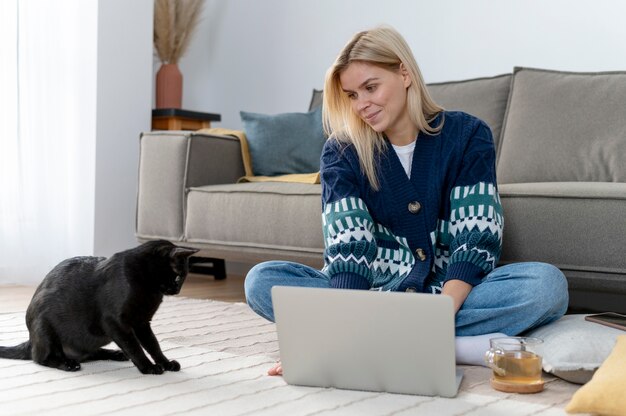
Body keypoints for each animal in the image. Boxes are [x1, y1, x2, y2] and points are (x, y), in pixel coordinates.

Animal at [0, 240, 197, 374]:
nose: (178, 290)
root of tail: (31, 339)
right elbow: (134, 346)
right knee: (41, 358)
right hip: (45, 327)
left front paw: (165, 363)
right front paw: (148, 367)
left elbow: (153, 345)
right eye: (179, 276)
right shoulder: (114, 322)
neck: (151, 290)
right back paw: (68, 364)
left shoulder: (142, 323)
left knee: (91, 353)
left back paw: (117, 354)